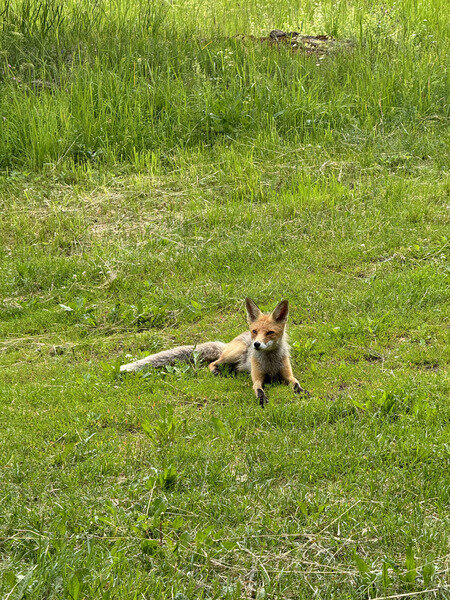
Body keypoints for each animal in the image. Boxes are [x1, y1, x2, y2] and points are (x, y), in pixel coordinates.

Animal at [119, 298, 310, 406]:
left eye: (270, 332)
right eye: (255, 331)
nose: (256, 345)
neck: (270, 363)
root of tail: (227, 344)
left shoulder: (287, 374)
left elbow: (295, 383)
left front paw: (303, 393)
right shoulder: (257, 377)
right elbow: (258, 389)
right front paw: (262, 400)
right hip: (234, 354)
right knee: (213, 362)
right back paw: (218, 371)